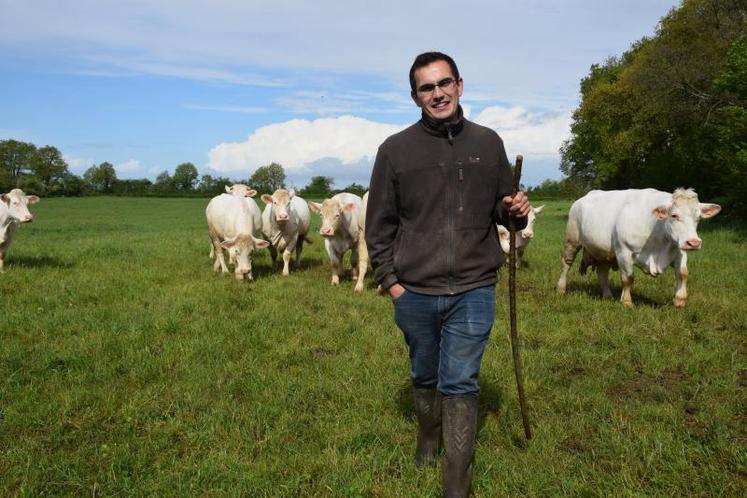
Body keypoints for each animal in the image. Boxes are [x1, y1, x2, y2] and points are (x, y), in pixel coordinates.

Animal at [560, 189, 720, 308]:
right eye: (674, 215)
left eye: (698, 218)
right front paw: (626, 302)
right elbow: (628, 278)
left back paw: (607, 295)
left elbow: (683, 273)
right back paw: (561, 289)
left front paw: (679, 300)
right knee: (566, 264)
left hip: (603, 251)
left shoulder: (679, 250)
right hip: (572, 240)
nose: (694, 242)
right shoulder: (624, 251)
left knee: (602, 272)